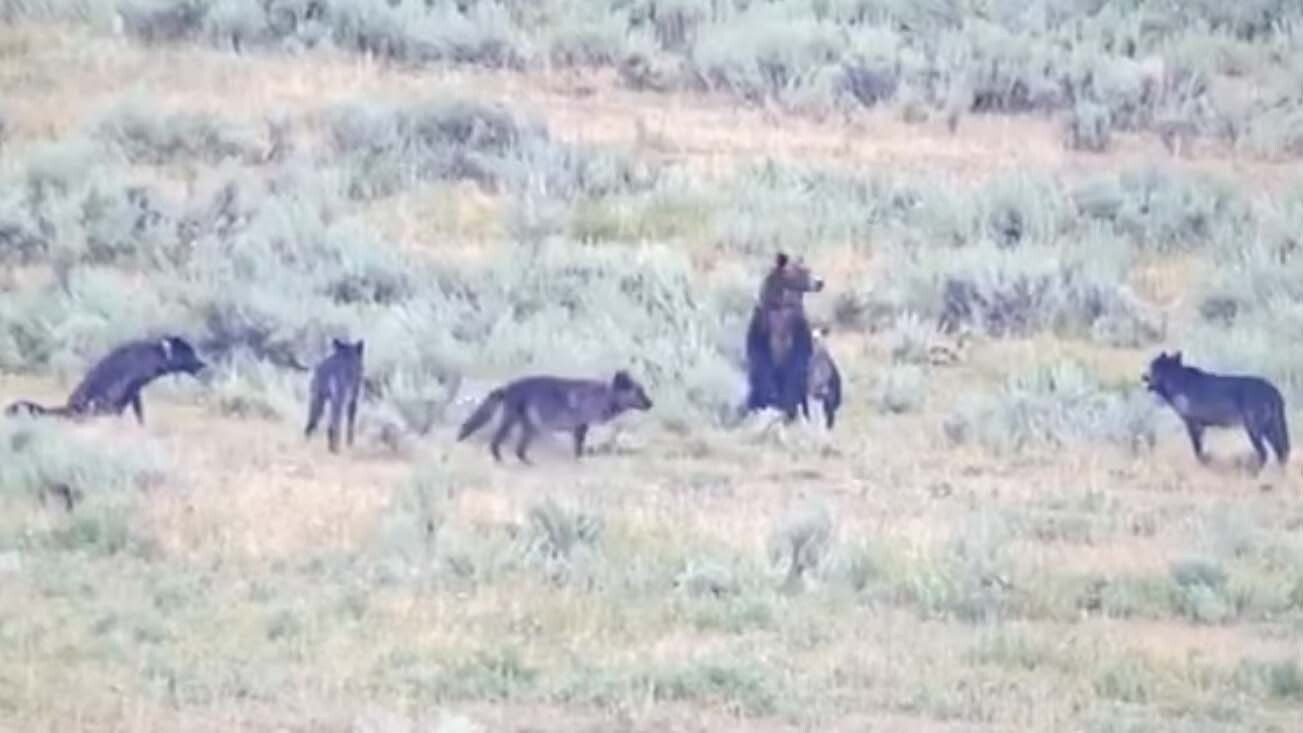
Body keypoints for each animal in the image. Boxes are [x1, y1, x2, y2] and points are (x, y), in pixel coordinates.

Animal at [4, 336, 207, 424]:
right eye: (187, 352)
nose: (202, 364)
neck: (152, 354)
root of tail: (69, 408)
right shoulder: (127, 391)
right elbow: (134, 412)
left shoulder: (134, 392)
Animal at [456, 370, 653, 464]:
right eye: (639, 392)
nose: (651, 404)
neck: (602, 396)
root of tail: (507, 387)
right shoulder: (581, 427)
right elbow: (579, 448)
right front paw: (579, 461)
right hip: (514, 422)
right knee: (496, 442)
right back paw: (500, 460)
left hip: (529, 427)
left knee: (519, 450)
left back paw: (528, 463)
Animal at [1143, 351, 1289, 473]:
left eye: (1152, 366)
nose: (1142, 376)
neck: (1177, 380)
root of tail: (1273, 390)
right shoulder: (1201, 426)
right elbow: (1200, 449)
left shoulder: (1193, 424)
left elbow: (1197, 449)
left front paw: (1203, 464)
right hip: (1269, 428)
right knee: (1281, 452)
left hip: (1255, 430)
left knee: (1265, 453)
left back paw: (1254, 473)